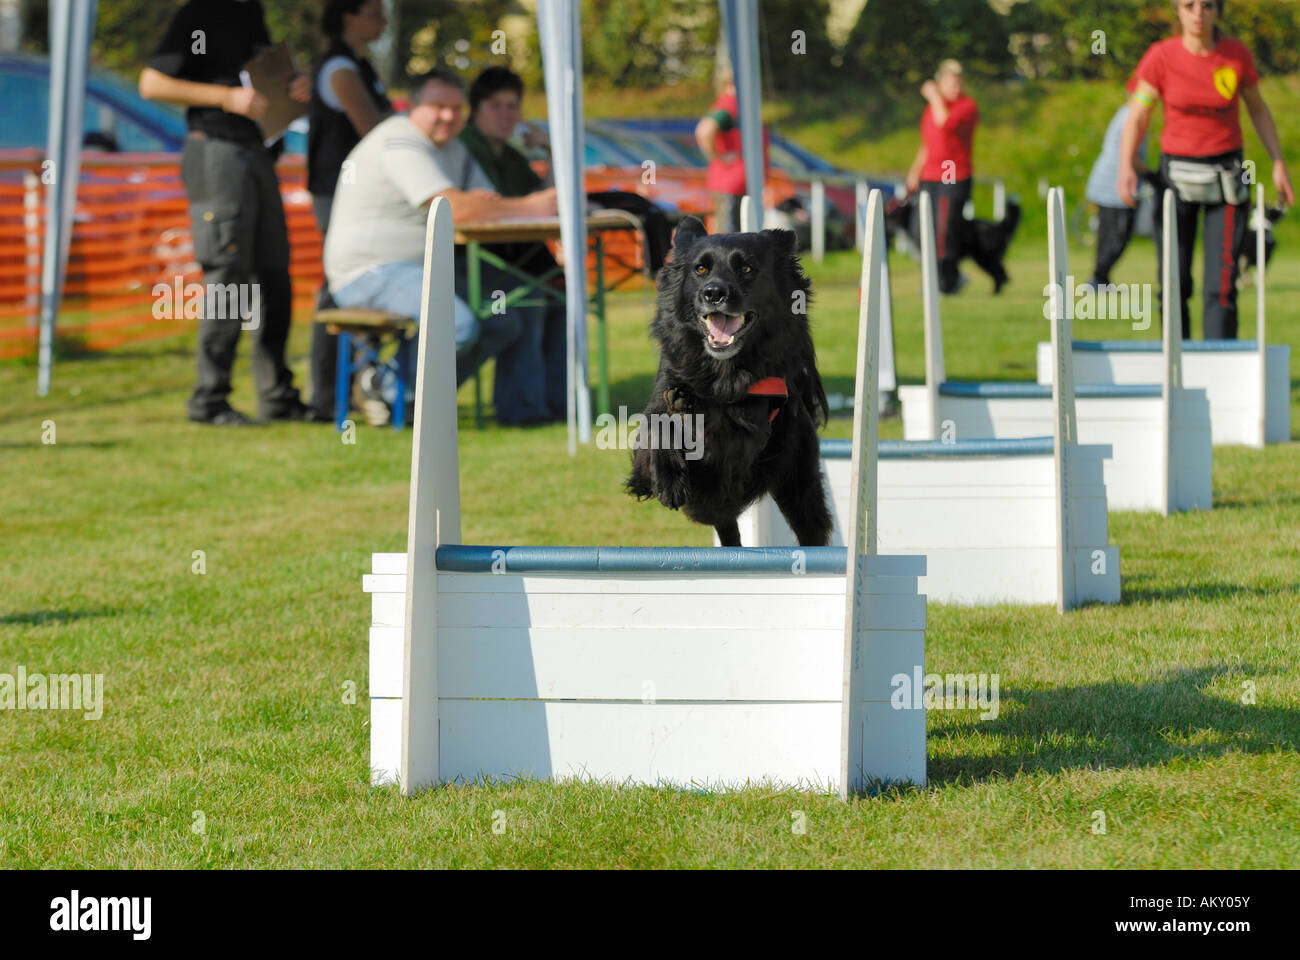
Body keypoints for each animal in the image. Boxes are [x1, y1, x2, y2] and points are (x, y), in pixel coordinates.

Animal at [626, 217, 832, 546]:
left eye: (745, 268)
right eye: (700, 269)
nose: (713, 293)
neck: (723, 372)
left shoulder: (742, 447)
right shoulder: (660, 402)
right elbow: (658, 425)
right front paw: (670, 480)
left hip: (800, 488)